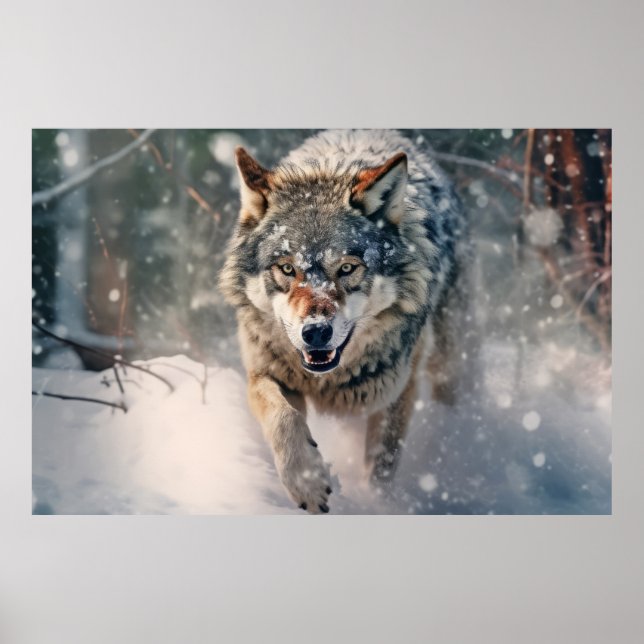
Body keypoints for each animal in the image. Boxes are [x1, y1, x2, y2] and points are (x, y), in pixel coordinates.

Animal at [220, 130, 469, 513]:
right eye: (287, 268)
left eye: (348, 268)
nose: (315, 332)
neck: (329, 382)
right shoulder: (266, 373)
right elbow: (284, 420)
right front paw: (307, 482)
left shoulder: (395, 394)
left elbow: (381, 468)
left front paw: (377, 505)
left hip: (448, 360)